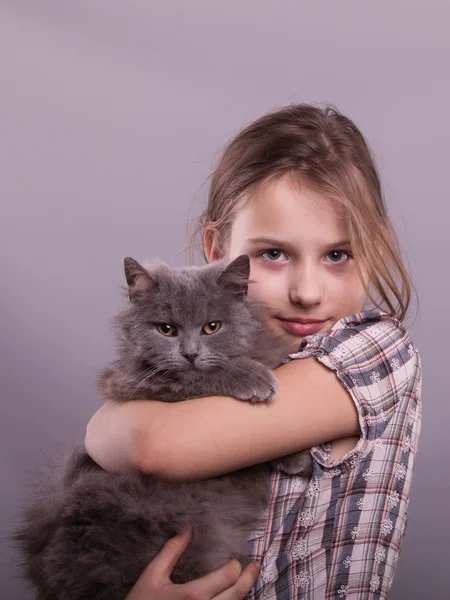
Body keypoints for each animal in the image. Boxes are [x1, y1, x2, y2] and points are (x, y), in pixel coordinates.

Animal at [11, 254, 312, 600]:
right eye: (166, 329)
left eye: (212, 327)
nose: (190, 353)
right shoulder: (136, 384)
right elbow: (204, 378)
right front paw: (254, 378)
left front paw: (296, 457)